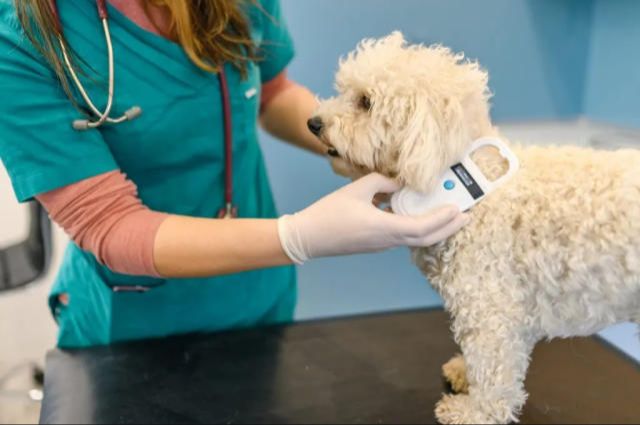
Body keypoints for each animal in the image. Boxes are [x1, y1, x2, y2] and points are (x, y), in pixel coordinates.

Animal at [310, 31, 640, 422]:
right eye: (343, 91)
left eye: (366, 102)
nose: (313, 122)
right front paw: (464, 372)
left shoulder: (490, 304)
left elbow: (494, 367)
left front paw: (476, 412)